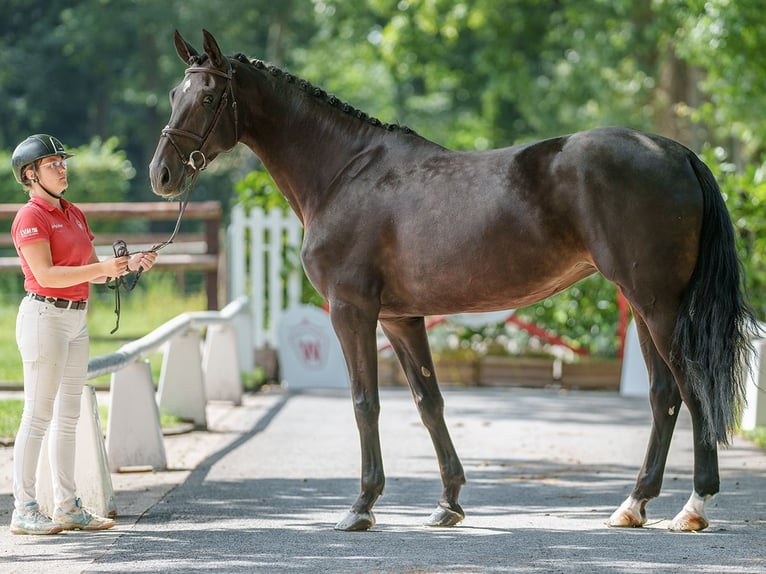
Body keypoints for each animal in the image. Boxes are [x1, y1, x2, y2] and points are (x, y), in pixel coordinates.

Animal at [147, 30, 760, 536]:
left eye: (208, 97)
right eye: (175, 93)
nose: (162, 174)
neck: (345, 173)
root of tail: (676, 152)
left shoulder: (351, 311)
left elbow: (364, 402)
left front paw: (361, 507)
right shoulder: (401, 318)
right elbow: (429, 402)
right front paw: (448, 503)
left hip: (658, 304)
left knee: (691, 388)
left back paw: (693, 508)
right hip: (642, 303)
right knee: (663, 395)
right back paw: (633, 505)